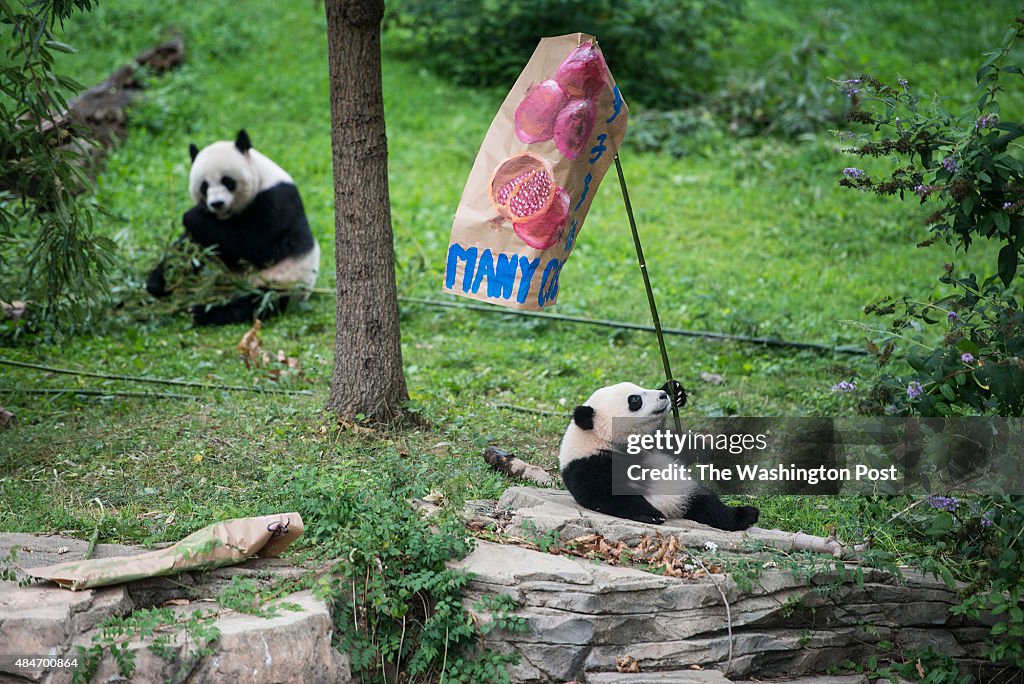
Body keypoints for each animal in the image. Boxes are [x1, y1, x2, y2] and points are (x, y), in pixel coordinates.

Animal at [145, 132, 319, 327]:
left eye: (227, 181)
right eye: (204, 186)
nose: (217, 204)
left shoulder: (277, 201)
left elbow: (255, 246)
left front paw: (192, 215)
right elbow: (189, 248)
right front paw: (159, 280)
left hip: (280, 281)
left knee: (255, 301)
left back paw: (204, 312)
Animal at [561, 382, 761, 532]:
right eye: (635, 399)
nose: (663, 395)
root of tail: (673, 508)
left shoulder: (656, 443)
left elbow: (684, 446)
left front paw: (676, 391)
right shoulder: (589, 463)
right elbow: (605, 494)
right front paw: (650, 515)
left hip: (686, 491)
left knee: (711, 507)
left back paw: (746, 515)